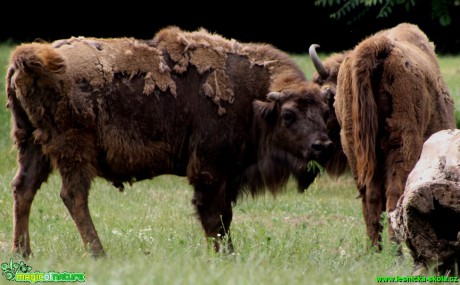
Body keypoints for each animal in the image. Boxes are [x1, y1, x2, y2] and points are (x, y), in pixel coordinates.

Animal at [6, 27, 330, 258]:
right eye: (288, 115)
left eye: (325, 110)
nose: (323, 145)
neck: (254, 100)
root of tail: (28, 60)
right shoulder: (210, 171)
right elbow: (215, 217)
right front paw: (224, 256)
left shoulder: (227, 176)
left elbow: (224, 216)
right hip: (72, 150)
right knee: (73, 195)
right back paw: (98, 253)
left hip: (32, 143)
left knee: (24, 189)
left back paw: (23, 252)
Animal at [308, 23, 454, 252]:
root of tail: (377, 46)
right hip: (401, 143)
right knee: (393, 195)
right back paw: (396, 252)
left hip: (355, 149)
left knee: (370, 197)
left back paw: (374, 251)